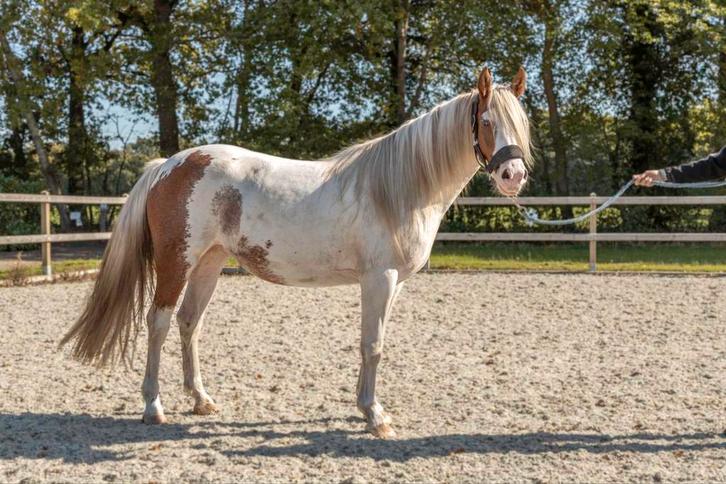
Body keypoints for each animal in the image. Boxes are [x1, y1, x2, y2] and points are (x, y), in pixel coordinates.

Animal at [60, 67, 532, 438]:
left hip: (209, 263)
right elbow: (372, 344)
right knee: (157, 323)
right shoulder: (379, 278)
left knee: (189, 322)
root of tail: (167, 166)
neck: (396, 189)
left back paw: (201, 399)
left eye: (521, 125)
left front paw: (365, 407)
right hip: (177, 263)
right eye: (486, 121)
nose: (513, 175)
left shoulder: (392, 283)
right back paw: (153, 407)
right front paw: (374, 415)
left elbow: (373, 342)